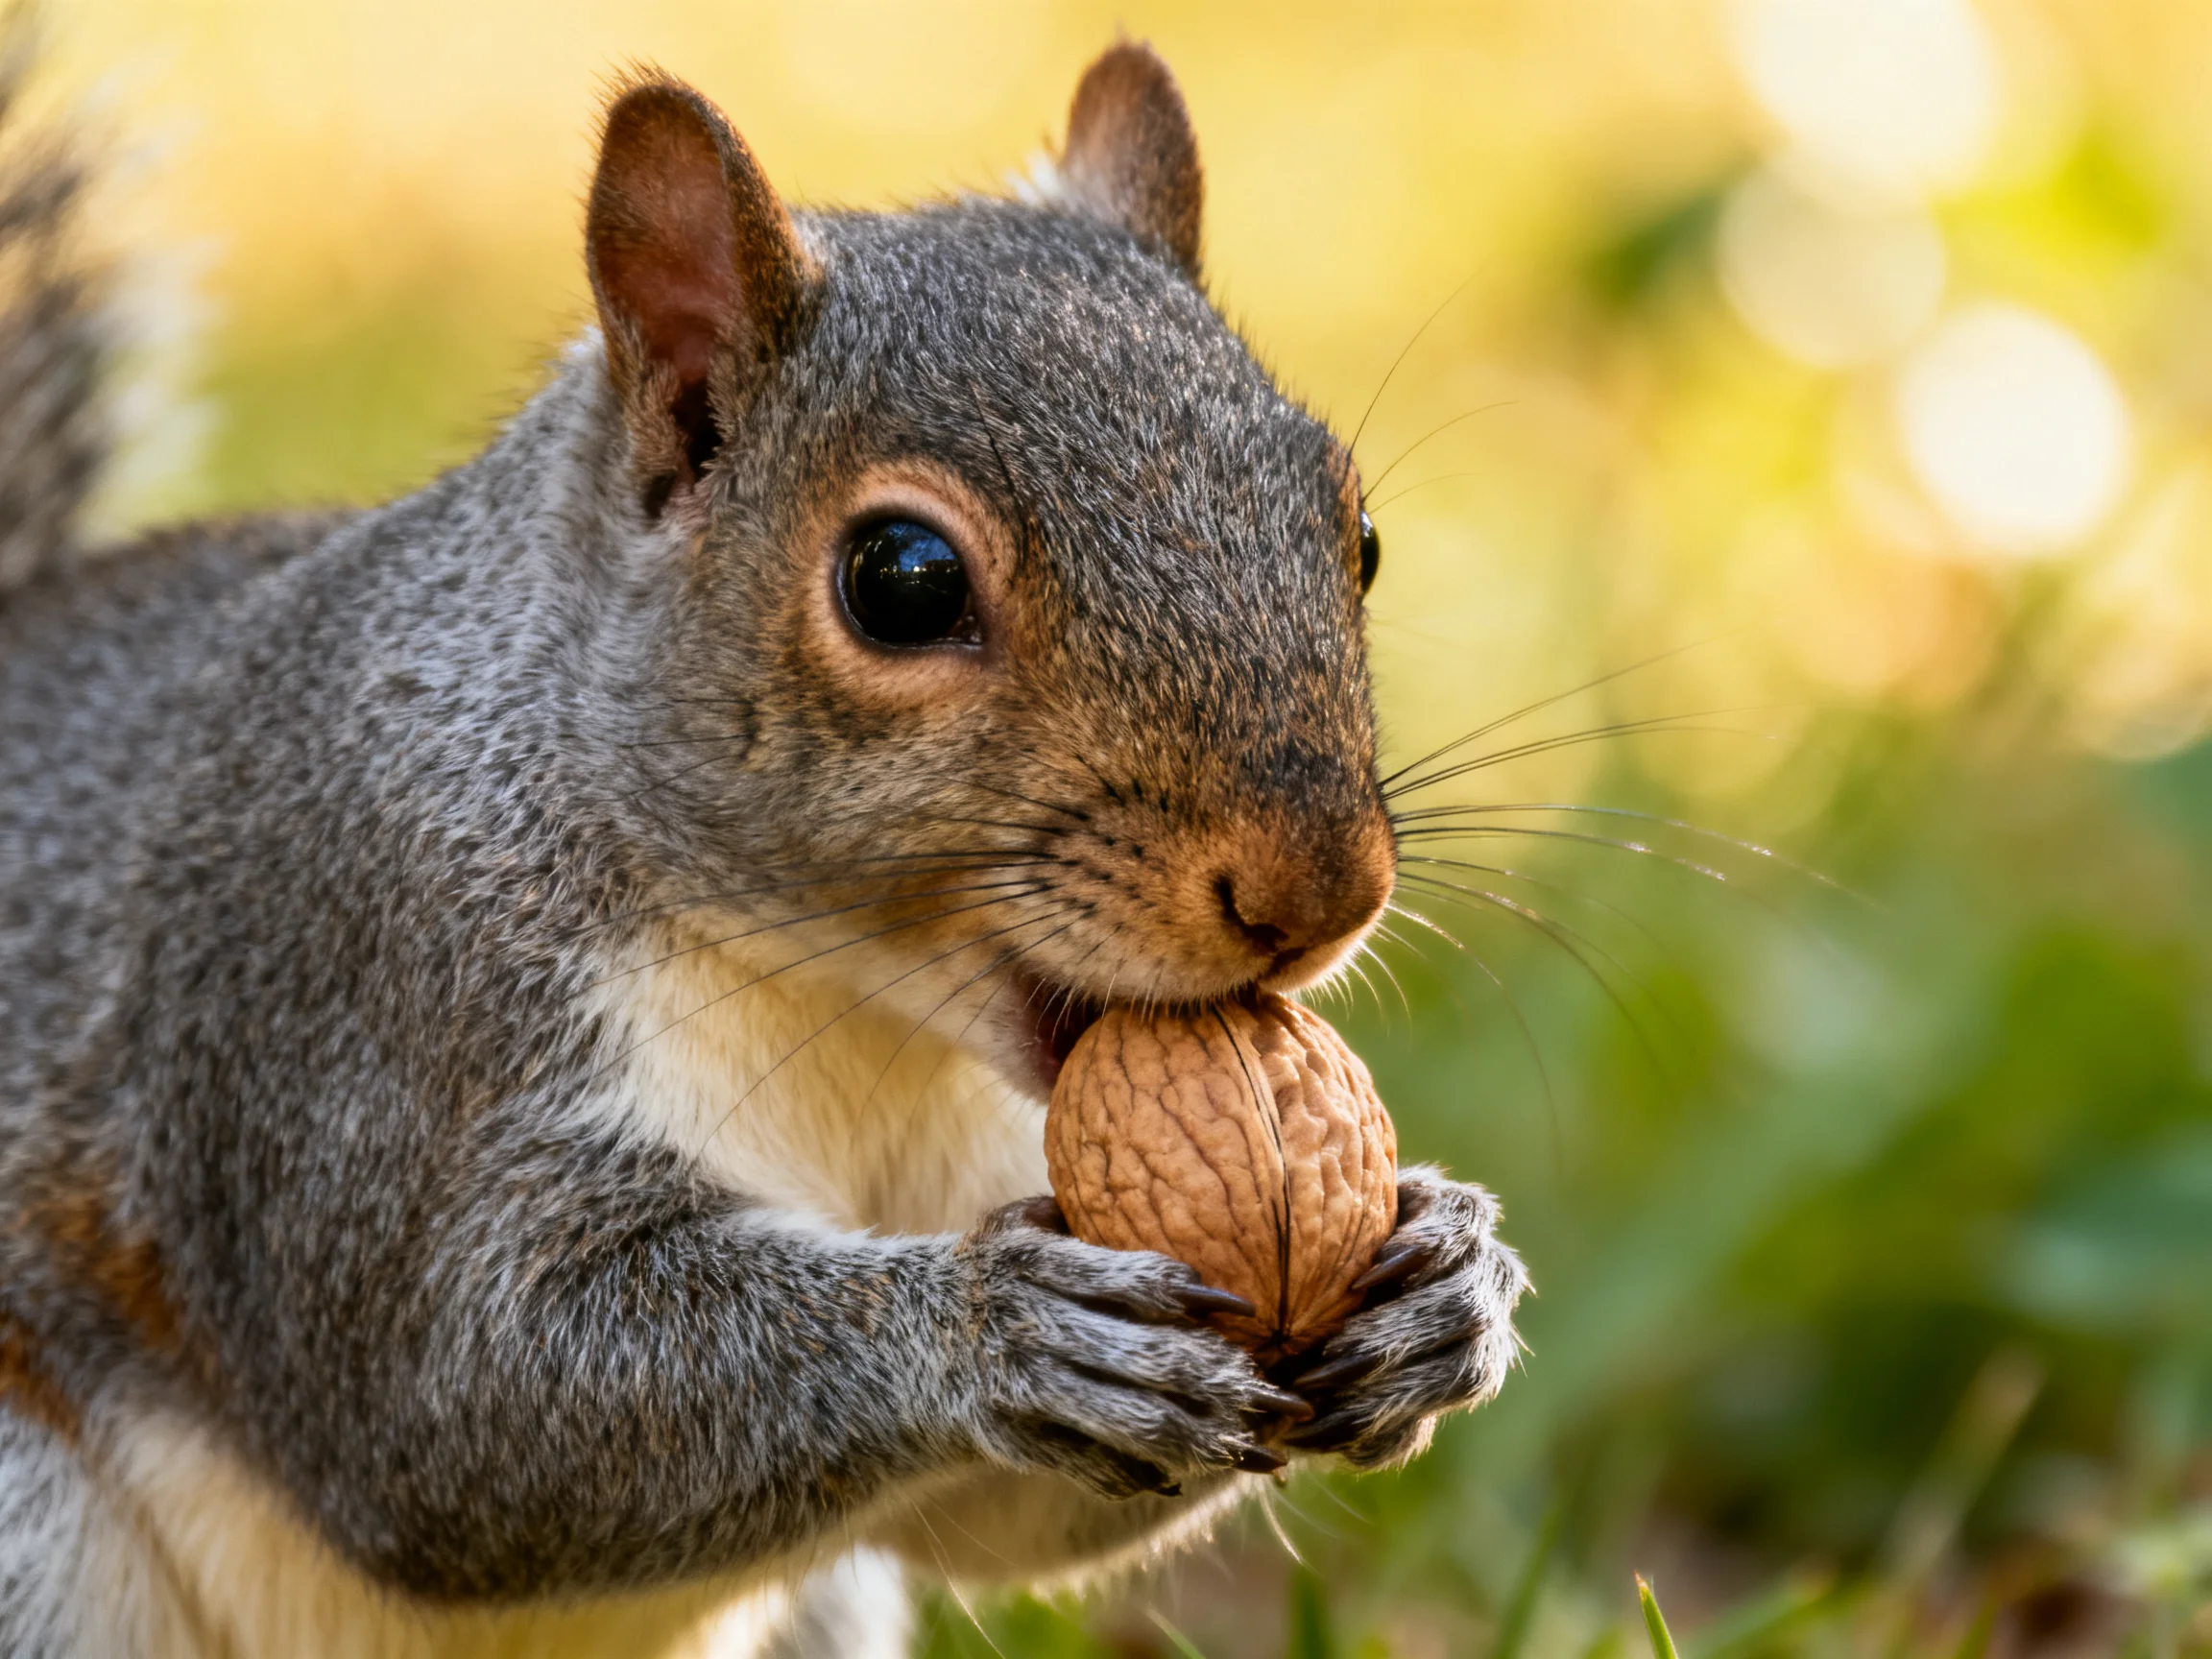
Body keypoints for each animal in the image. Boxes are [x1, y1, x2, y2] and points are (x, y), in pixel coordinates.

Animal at [0, 36, 1529, 1659]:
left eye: (1357, 535)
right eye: (900, 581)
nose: (1324, 891)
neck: (847, 1014)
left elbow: (1008, 1520)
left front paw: (1450, 1282)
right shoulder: (361, 1018)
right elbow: (450, 1404)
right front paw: (992, 1330)